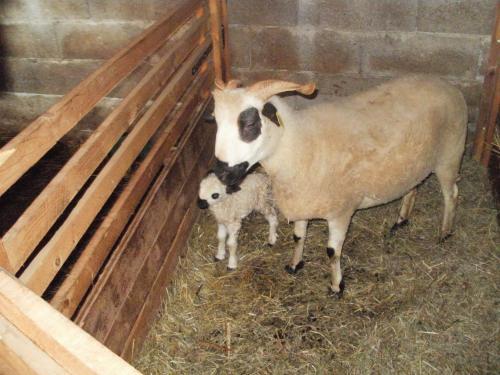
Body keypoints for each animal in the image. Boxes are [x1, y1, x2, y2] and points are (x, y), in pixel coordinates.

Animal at [211, 75, 468, 296]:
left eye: (250, 123)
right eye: (215, 121)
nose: (221, 172)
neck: (299, 144)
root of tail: (446, 84)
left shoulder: (340, 212)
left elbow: (332, 252)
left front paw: (336, 286)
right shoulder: (302, 201)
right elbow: (298, 237)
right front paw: (295, 264)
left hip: (449, 156)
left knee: (452, 195)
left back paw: (444, 232)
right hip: (413, 163)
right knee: (413, 187)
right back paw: (401, 220)